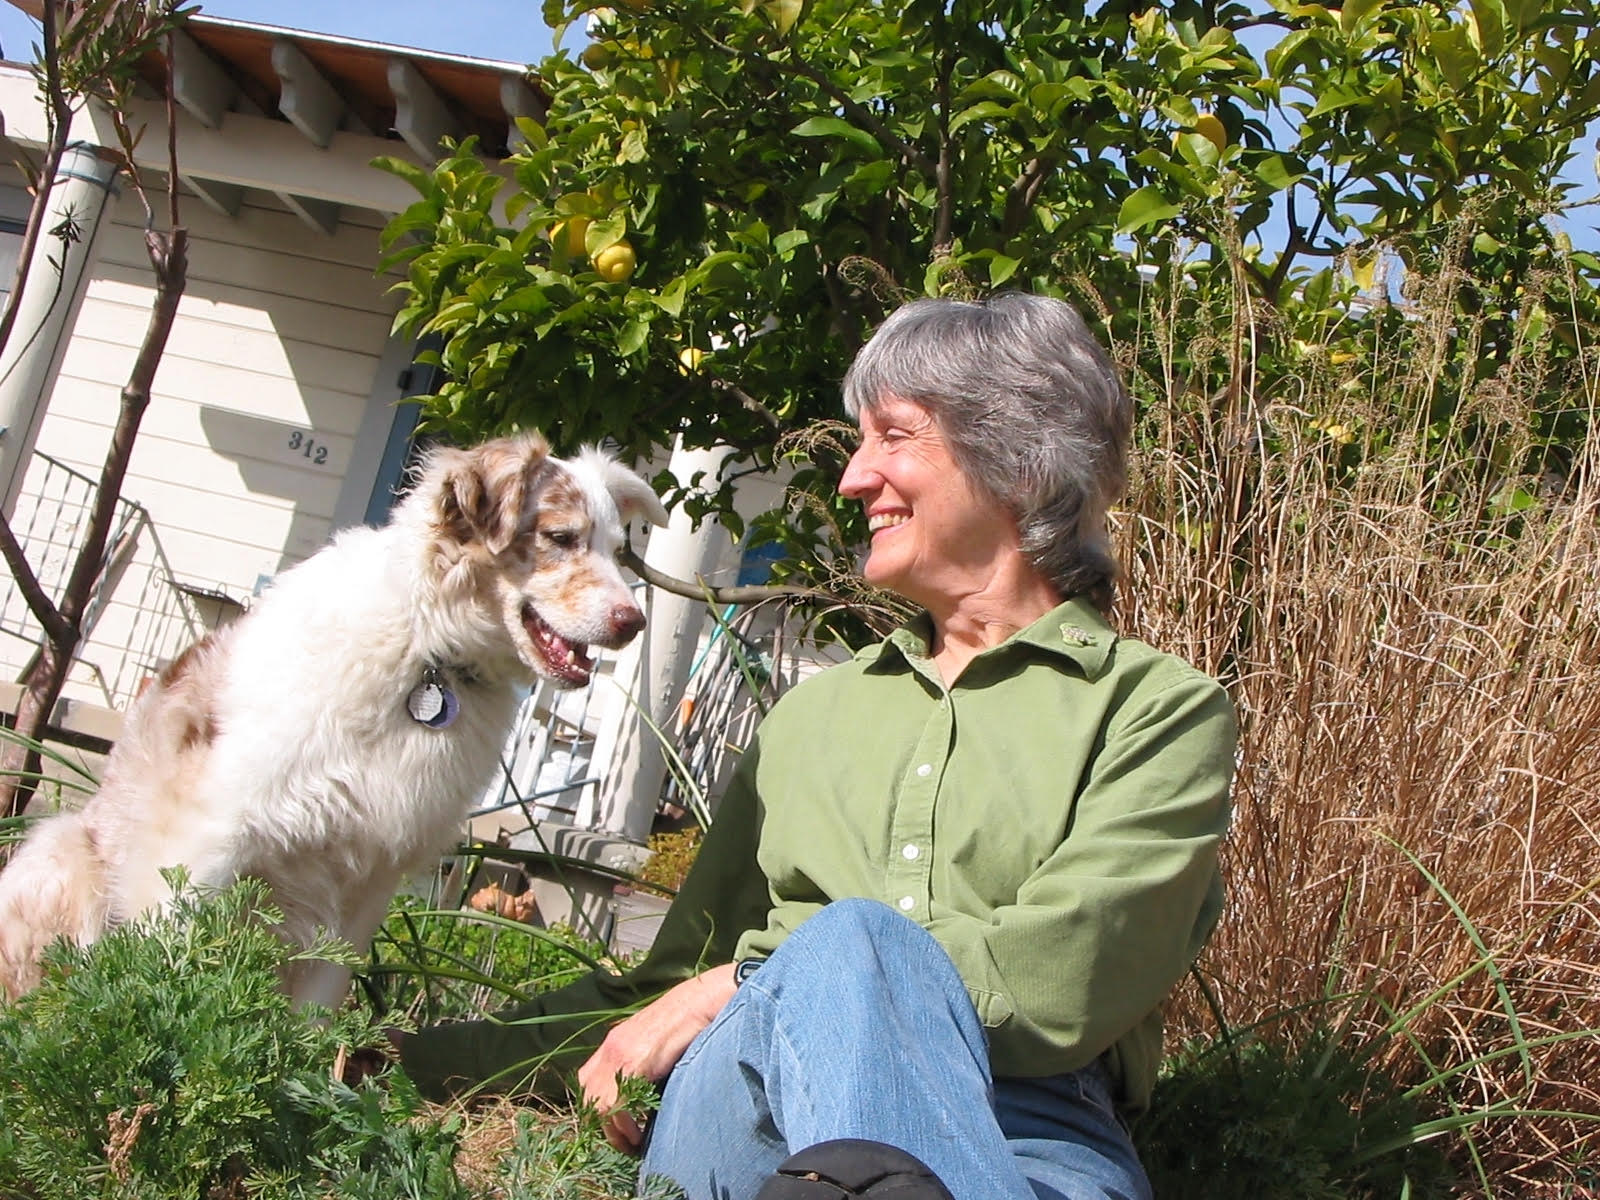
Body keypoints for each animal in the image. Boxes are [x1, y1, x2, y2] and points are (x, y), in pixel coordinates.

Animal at [0, 438, 665, 1011]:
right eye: (561, 537)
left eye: (616, 549)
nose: (634, 623)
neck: (428, 650)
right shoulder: (212, 838)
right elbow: (167, 974)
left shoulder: (366, 884)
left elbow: (314, 1021)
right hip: (57, 851)